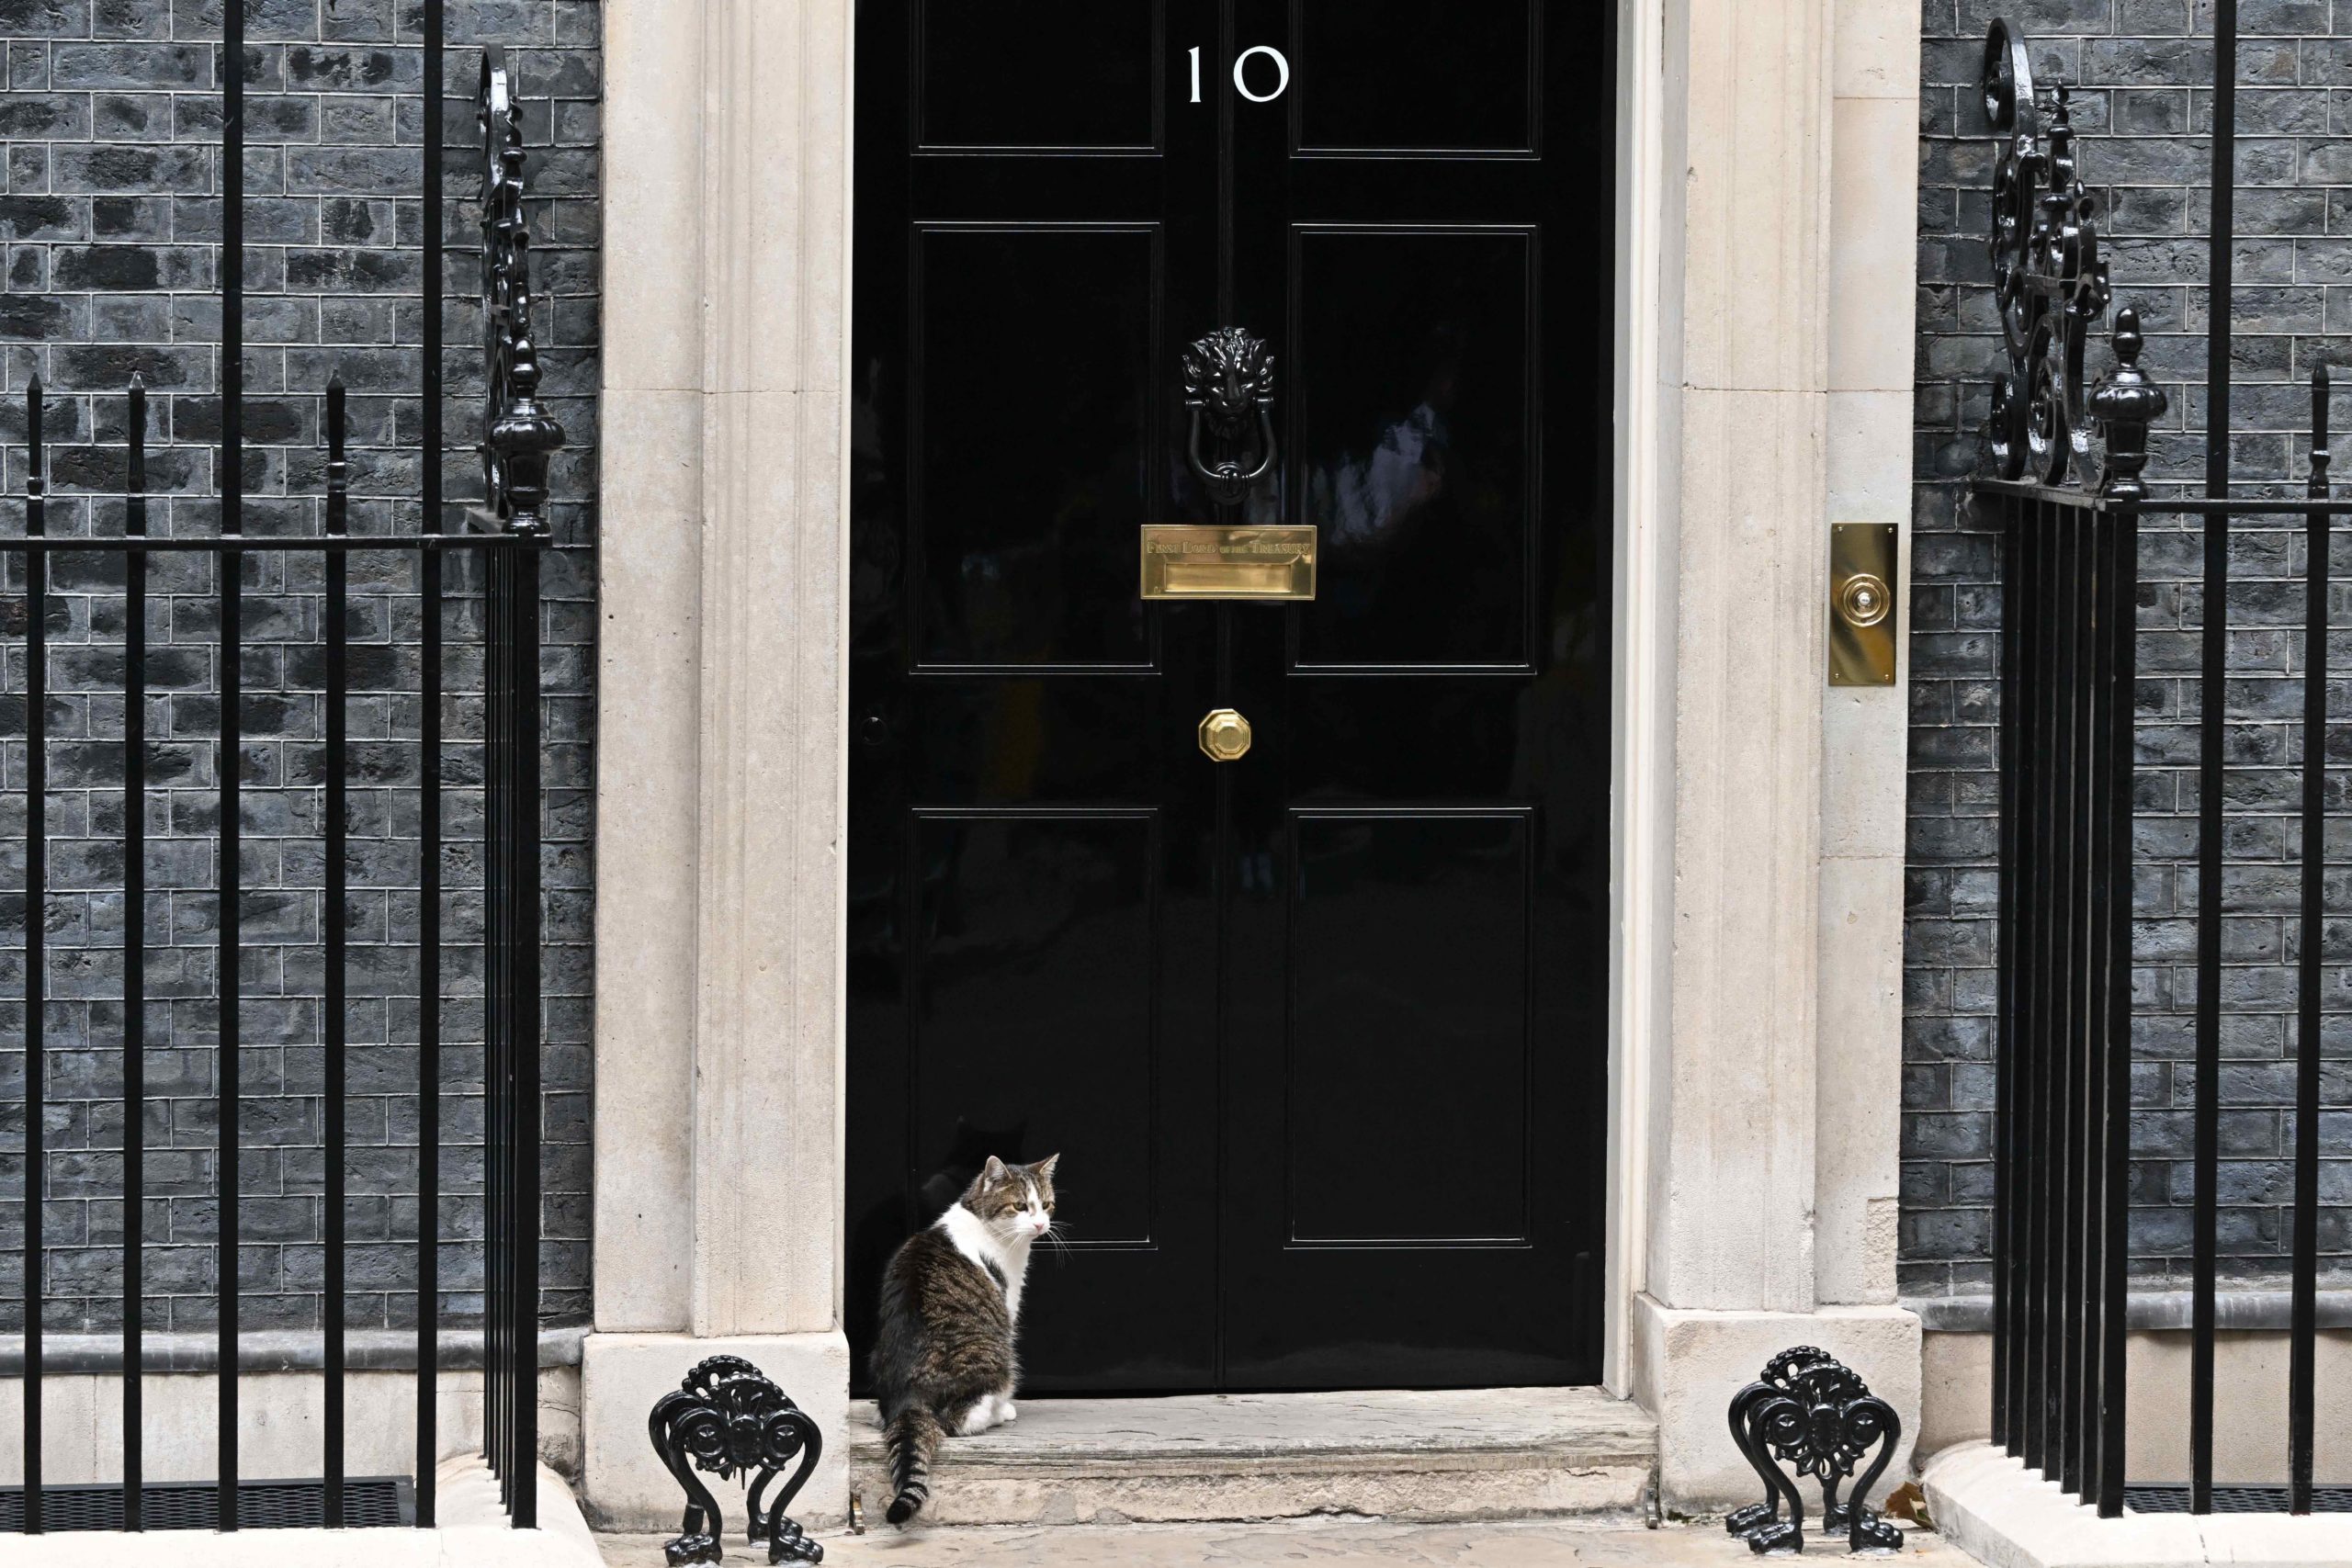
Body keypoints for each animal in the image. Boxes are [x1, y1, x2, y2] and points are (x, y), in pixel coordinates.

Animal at [870, 1152, 1063, 1532]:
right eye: (1020, 1206)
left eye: (1046, 1205)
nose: (1039, 1225)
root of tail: (907, 1397)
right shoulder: (1008, 1304)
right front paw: (1005, 1408)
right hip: (998, 1355)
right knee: (960, 1420)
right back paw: (999, 1413)